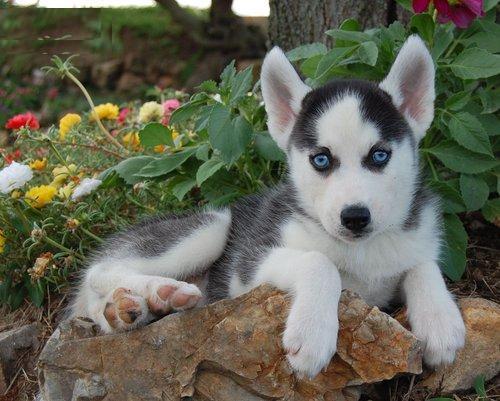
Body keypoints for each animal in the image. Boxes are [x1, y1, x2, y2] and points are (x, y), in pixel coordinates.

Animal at [69, 36, 464, 376]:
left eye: (379, 155)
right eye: (321, 160)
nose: (355, 217)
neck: (362, 252)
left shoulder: (416, 241)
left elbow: (423, 265)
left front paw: (440, 321)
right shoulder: (246, 267)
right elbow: (319, 262)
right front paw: (312, 333)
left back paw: (127, 308)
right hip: (211, 227)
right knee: (99, 271)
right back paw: (159, 291)